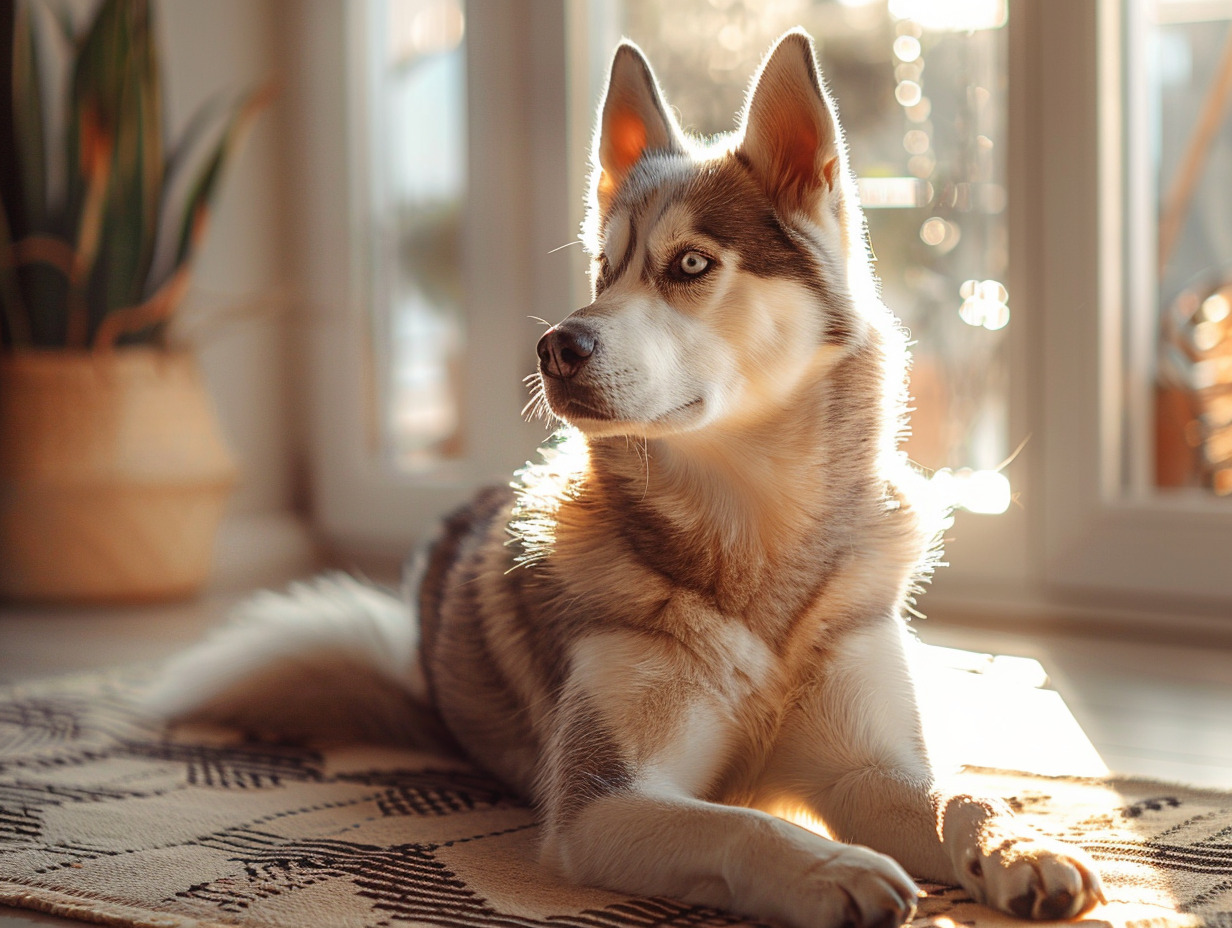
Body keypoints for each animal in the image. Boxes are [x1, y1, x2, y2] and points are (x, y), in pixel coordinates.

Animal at [154, 28, 1108, 926]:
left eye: (689, 264)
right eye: (603, 272)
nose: (555, 346)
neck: (751, 530)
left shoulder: (866, 767)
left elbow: (963, 795)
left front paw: (1020, 845)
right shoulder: (604, 803)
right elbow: (744, 825)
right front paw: (832, 868)